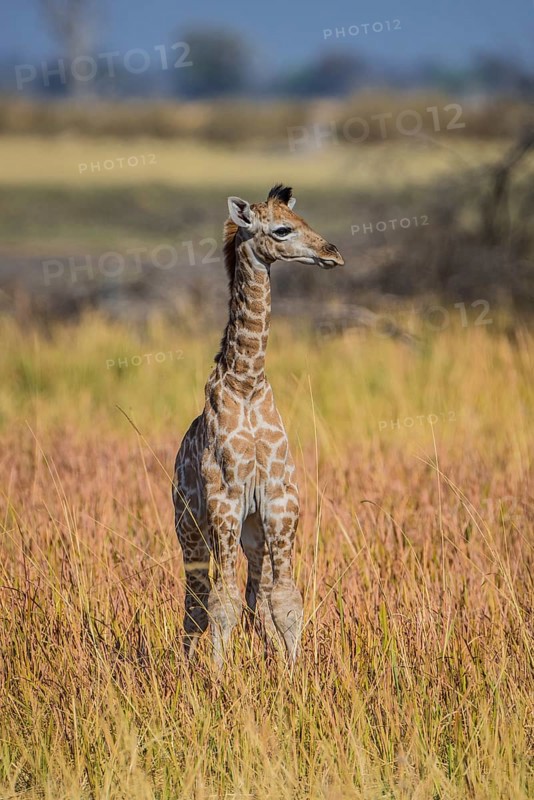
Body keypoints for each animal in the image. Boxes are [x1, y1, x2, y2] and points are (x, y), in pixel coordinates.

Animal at [172, 184, 344, 667]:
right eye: (282, 230)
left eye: (302, 219)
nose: (333, 253)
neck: (246, 383)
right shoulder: (225, 501)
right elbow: (222, 602)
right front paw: (218, 677)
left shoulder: (279, 500)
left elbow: (284, 600)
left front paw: (292, 673)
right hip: (189, 528)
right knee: (197, 601)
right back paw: (189, 667)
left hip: (254, 533)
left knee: (255, 595)